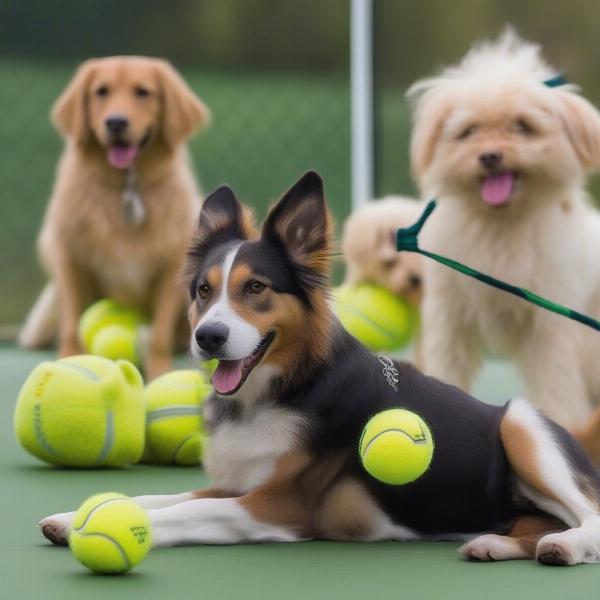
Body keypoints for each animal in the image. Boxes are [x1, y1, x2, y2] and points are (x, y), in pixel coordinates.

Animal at [18, 55, 210, 376]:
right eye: (101, 92)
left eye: (143, 92)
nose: (116, 122)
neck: (125, 188)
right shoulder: (69, 257)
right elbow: (72, 320)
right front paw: (68, 359)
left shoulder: (170, 266)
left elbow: (158, 333)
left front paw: (160, 371)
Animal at [408, 28, 600, 442]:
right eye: (469, 132)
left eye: (523, 126)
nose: (490, 156)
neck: (500, 226)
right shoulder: (450, 316)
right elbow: (447, 367)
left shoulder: (550, 328)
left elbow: (556, 385)